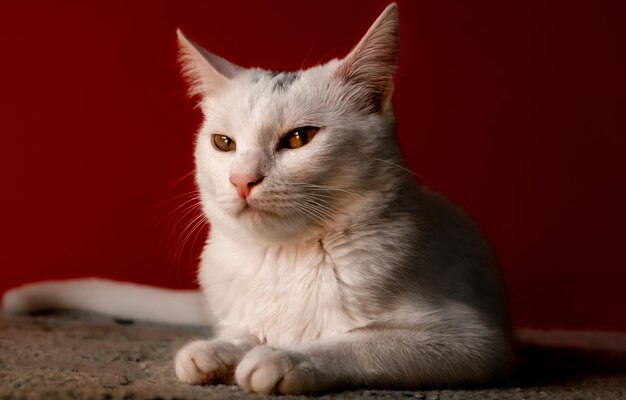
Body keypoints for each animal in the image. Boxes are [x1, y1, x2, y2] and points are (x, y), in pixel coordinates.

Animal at [2, 3, 510, 396]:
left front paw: (285, 358)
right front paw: (218, 351)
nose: (242, 180)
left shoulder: (471, 341)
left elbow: (361, 342)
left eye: (300, 138)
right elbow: (240, 332)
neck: (282, 258)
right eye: (224, 143)